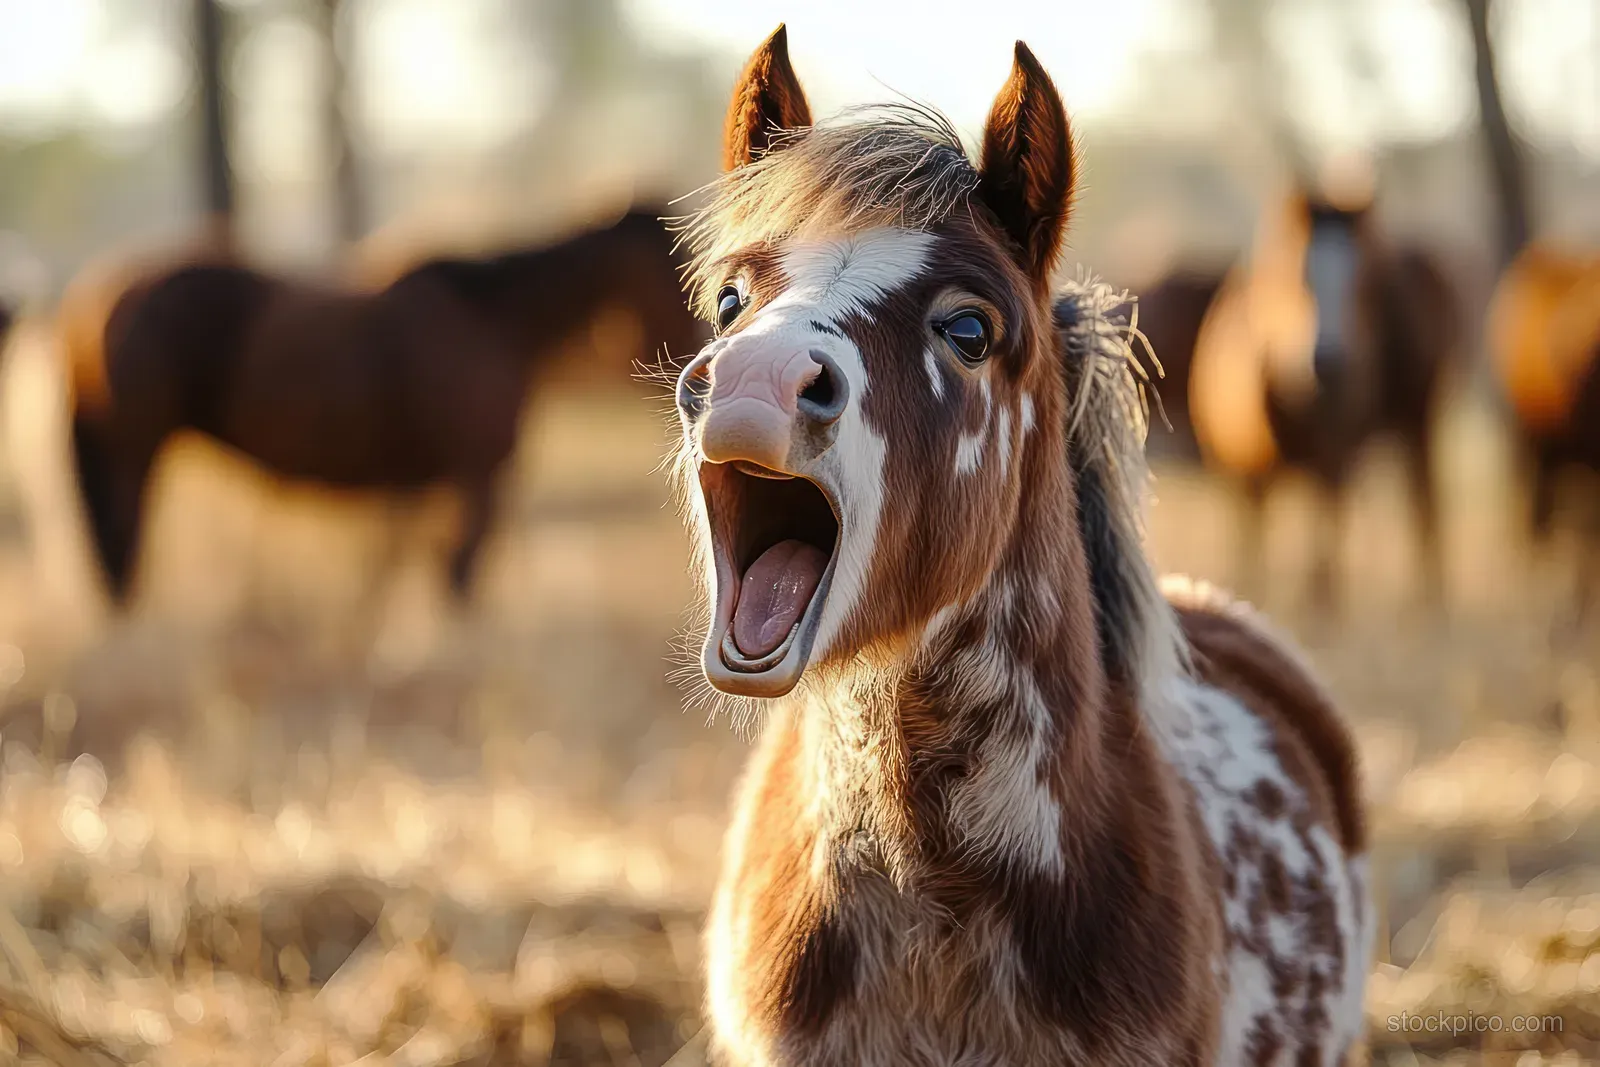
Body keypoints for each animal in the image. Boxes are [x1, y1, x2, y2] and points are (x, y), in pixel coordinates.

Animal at [66, 206, 704, 607]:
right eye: (682, 271)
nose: (701, 381)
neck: (492, 316)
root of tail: (93, 298)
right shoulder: (476, 478)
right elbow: (458, 573)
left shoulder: (423, 489)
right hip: (131, 456)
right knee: (120, 549)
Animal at [1188, 186, 1458, 612]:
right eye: (1298, 278)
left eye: (1364, 285)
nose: (1329, 363)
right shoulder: (1244, 466)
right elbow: (1254, 539)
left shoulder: (1334, 453)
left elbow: (1325, 525)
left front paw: (1322, 600)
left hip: (1419, 417)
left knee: (1424, 500)